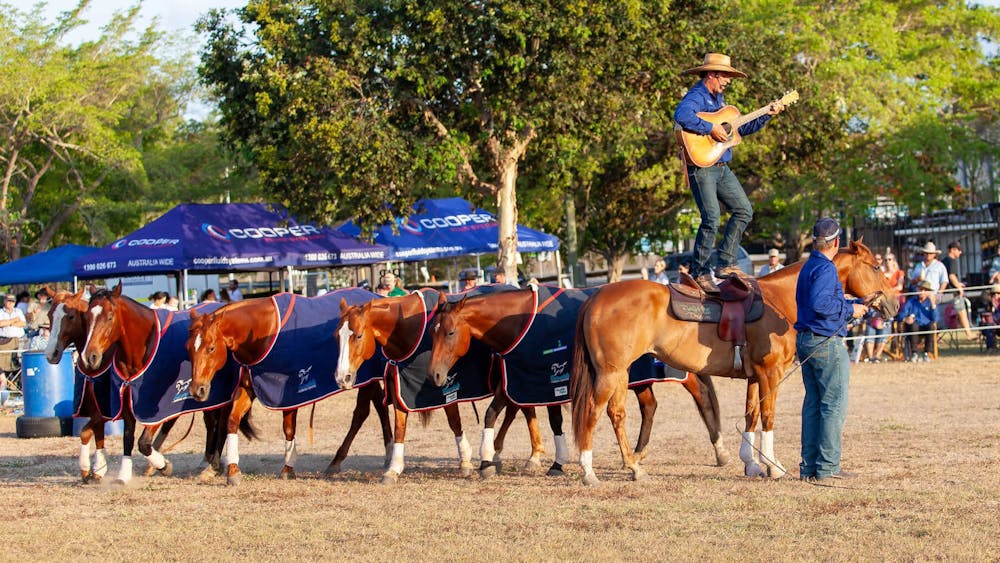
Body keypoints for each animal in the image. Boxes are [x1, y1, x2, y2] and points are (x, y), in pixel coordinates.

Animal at [186, 289, 394, 486]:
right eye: (188, 349)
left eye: (211, 348)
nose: (197, 389)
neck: (263, 330)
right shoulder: (248, 386)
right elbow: (232, 420)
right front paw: (233, 470)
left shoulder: (290, 392)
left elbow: (288, 429)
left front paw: (288, 468)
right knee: (379, 407)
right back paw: (387, 453)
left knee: (361, 413)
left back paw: (339, 460)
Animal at [335, 288, 564, 483]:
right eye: (337, 336)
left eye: (358, 335)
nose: (341, 377)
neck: (409, 331)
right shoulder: (400, 386)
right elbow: (400, 426)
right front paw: (393, 468)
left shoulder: (447, 385)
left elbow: (454, 421)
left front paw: (466, 461)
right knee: (521, 407)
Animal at [425, 284, 728, 478]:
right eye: (432, 332)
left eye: (450, 332)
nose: (435, 374)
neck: (523, 321)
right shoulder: (522, 383)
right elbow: (498, 413)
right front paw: (490, 458)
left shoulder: (545, 382)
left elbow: (549, 420)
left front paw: (554, 462)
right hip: (629, 376)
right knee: (649, 406)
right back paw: (636, 455)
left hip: (674, 367)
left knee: (701, 395)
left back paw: (720, 451)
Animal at [570, 239, 899, 485]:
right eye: (876, 266)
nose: (893, 303)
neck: (779, 299)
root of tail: (598, 295)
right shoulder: (770, 373)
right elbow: (768, 416)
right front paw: (772, 466)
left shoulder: (754, 377)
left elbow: (751, 414)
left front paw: (751, 463)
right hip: (610, 373)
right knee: (593, 411)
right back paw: (588, 471)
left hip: (622, 374)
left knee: (617, 414)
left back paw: (634, 467)